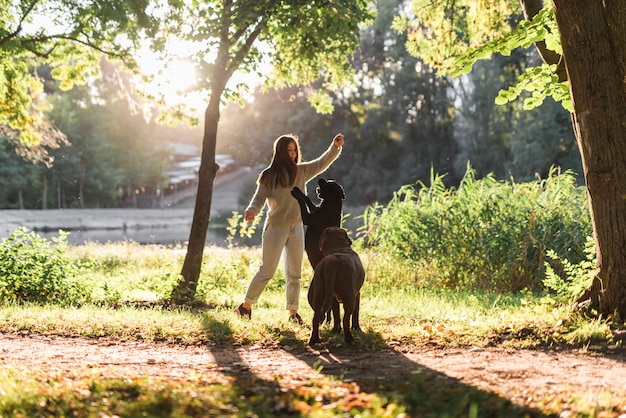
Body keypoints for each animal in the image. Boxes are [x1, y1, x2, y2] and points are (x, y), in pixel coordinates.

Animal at [290, 178, 344, 332]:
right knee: (331, 309)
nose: (320, 179)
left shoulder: (307, 218)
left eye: (328, 184)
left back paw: (324, 322)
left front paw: (296, 194)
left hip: (312, 295)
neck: (330, 206)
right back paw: (328, 323)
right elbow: (309, 201)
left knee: (325, 309)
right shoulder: (314, 210)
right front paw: (299, 191)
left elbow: (303, 204)